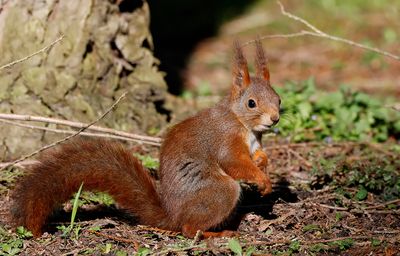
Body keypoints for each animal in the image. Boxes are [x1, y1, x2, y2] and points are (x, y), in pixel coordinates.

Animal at [11, 39, 282, 239]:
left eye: (278, 99)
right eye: (251, 103)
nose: (275, 118)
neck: (243, 124)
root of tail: (173, 216)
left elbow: (256, 157)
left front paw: (263, 164)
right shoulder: (226, 138)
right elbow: (234, 163)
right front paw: (262, 179)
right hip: (218, 192)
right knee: (188, 229)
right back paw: (216, 234)